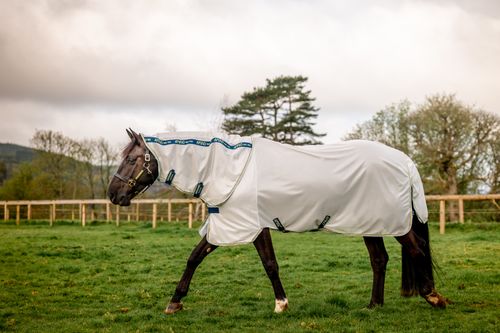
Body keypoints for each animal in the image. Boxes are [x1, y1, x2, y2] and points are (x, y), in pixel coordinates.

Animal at [108, 127, 450, 314]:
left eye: (132, 159)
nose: (113, 194)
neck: (229, 168)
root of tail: (403, 160)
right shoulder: (230, 225)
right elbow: (194, 258)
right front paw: (175, 302)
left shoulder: (250, 225)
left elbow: (269, 264)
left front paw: (281, 304)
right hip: (370, 223)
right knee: (379, 260)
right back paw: (373, 306)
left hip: (392, 224)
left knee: (416, 250)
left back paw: (433, 296)